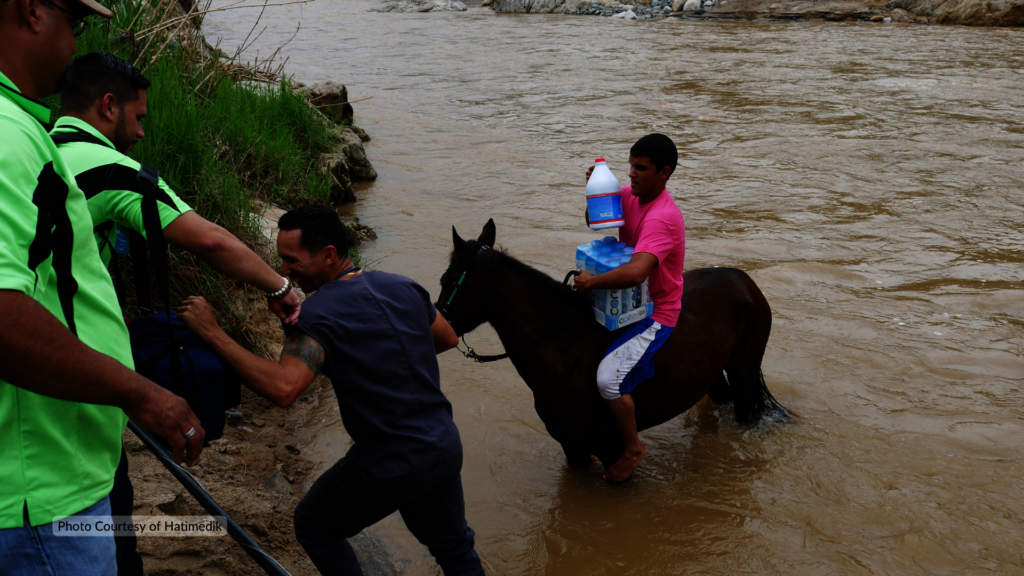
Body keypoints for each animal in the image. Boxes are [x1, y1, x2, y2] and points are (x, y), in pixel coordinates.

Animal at [436, 217, 786, 469]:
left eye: (447, 280)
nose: (436, 321)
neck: (564, 354)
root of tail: (742, 280)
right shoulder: (573, 450)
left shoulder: (611, 452)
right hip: (709, 375)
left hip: (744, 371)